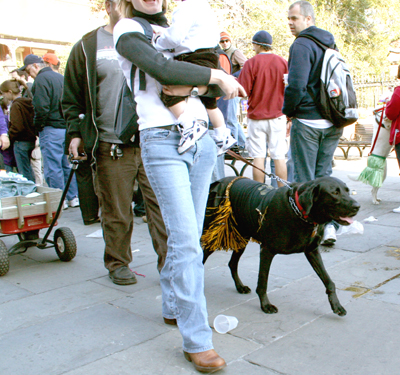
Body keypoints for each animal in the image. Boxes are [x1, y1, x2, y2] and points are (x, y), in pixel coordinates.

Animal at [202, 177, 360, 318]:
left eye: (347, 190)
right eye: (334, 193)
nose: (357, 206)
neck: (299, 212)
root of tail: (217, 182)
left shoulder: (312, 251)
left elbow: (329, 281)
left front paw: (336, 305)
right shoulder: (266, 251)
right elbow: (263, 281)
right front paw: (265, 305)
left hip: (242, 238)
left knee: (232, 263)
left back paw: (240, 287)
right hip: (212, 236)